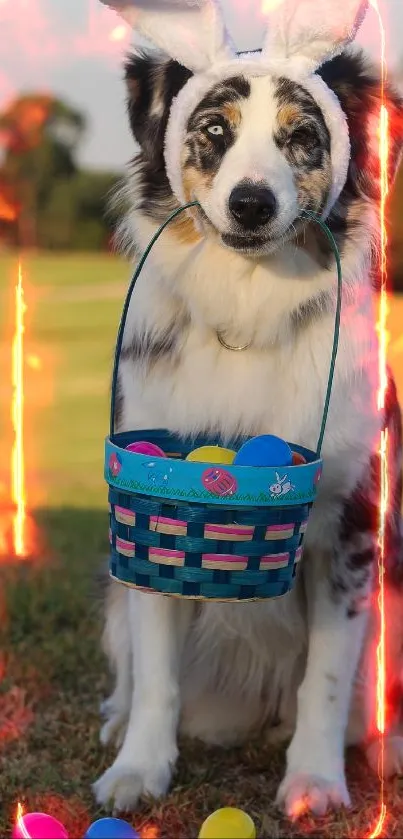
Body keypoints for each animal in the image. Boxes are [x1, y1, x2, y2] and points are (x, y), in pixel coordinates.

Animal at [93, 3, 403, 824]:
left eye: (302, 137)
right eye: (213, 129)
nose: (252, 203)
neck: (248, 302)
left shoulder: (349, 524)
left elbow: (327, 675)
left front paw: (315, 781)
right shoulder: (155, 513)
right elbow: (157, 671)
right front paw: (139, 768)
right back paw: (117, 718)